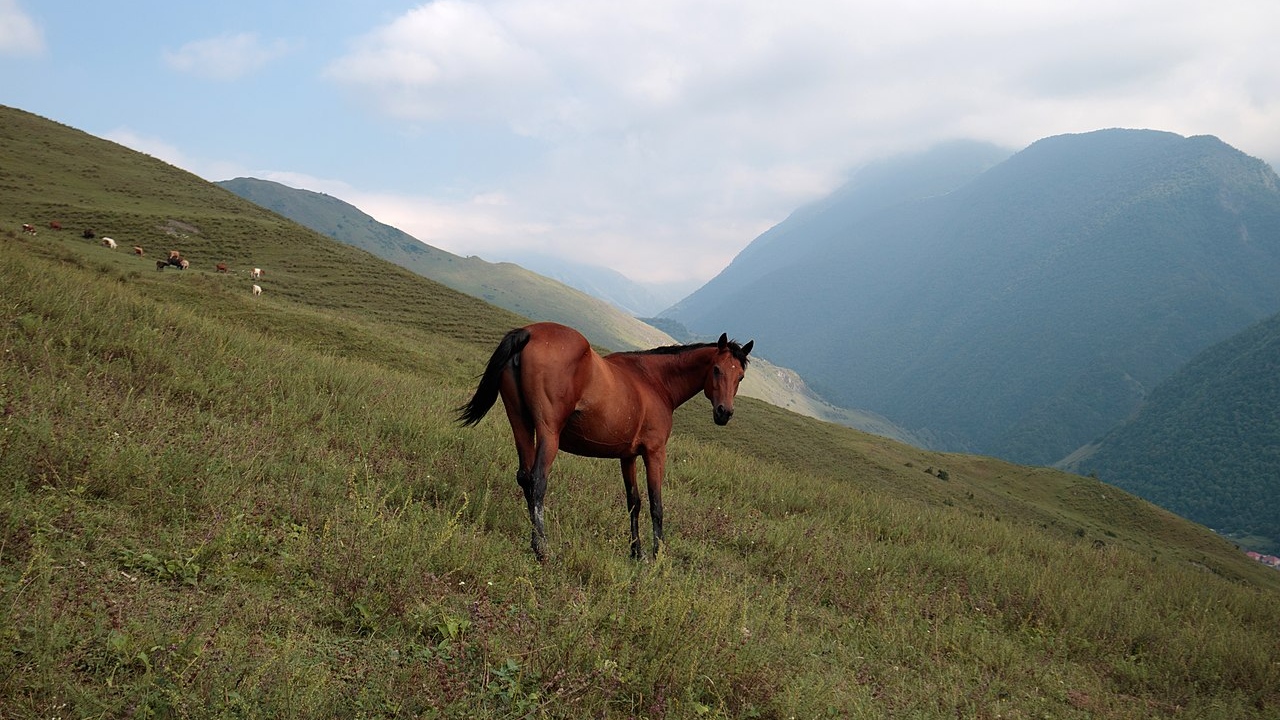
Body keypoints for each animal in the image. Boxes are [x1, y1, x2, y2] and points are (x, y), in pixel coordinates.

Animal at [458, 320, 747, 561]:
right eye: (717, 370)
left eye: (740, 377)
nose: (724, 413)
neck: (654, 381)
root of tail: (530, 332)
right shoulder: (655, 453)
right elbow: (656, 505)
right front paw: (659, 557)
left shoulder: (627, 456)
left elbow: (634, 502)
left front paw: (637, 552)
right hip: (548, 433)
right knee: (537, 482)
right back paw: (543, 549)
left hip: (520, 424)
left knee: (524, 478)